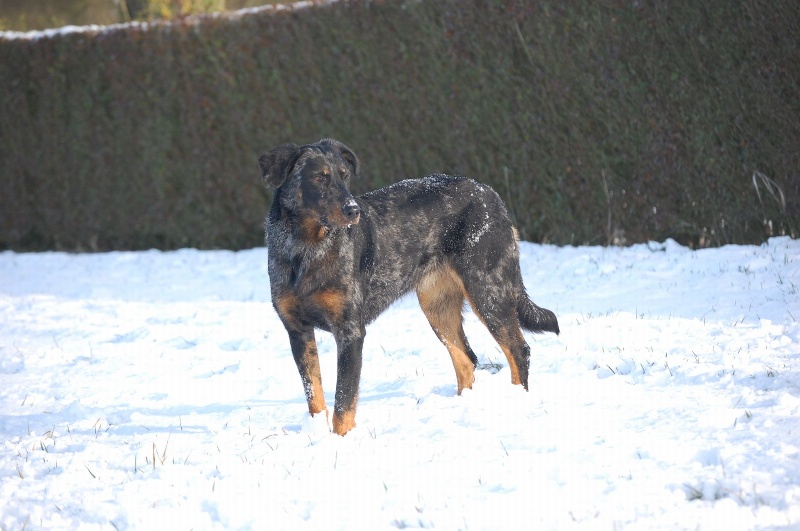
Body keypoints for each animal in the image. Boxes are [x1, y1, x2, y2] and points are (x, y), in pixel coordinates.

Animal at [260, 138, 560, 436]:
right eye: (319, 178)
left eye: (344, 176)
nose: (353, 210)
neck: (304, 249)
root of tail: (492, 195)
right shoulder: (297, 330)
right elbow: (314, 395)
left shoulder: (350, 331)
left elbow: (343, 401)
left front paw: (340, 440)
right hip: (437, 305)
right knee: (467, 359)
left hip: (488, 290)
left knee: (518, 351)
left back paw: (517, 402)